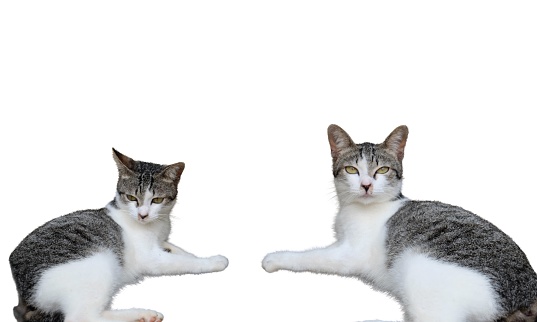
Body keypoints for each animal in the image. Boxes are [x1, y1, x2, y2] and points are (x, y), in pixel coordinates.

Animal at [10, 148, 228, 322]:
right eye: (132, 197)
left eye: (157, 200)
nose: (142, 215)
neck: (157, 226)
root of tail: (23, 293)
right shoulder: (150, 258)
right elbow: (184, 262)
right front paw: (214, 261)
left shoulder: (162, 241)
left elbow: (180, 251)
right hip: (100, 262)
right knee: (81, 317)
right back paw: (141, 314)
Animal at [262, 125, 536, 322]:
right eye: (352, 170)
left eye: (382, 170)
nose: (366, 185)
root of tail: (528, 291)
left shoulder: (349, 254)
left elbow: (311, 256)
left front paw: (275, 259)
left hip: (418, 270)